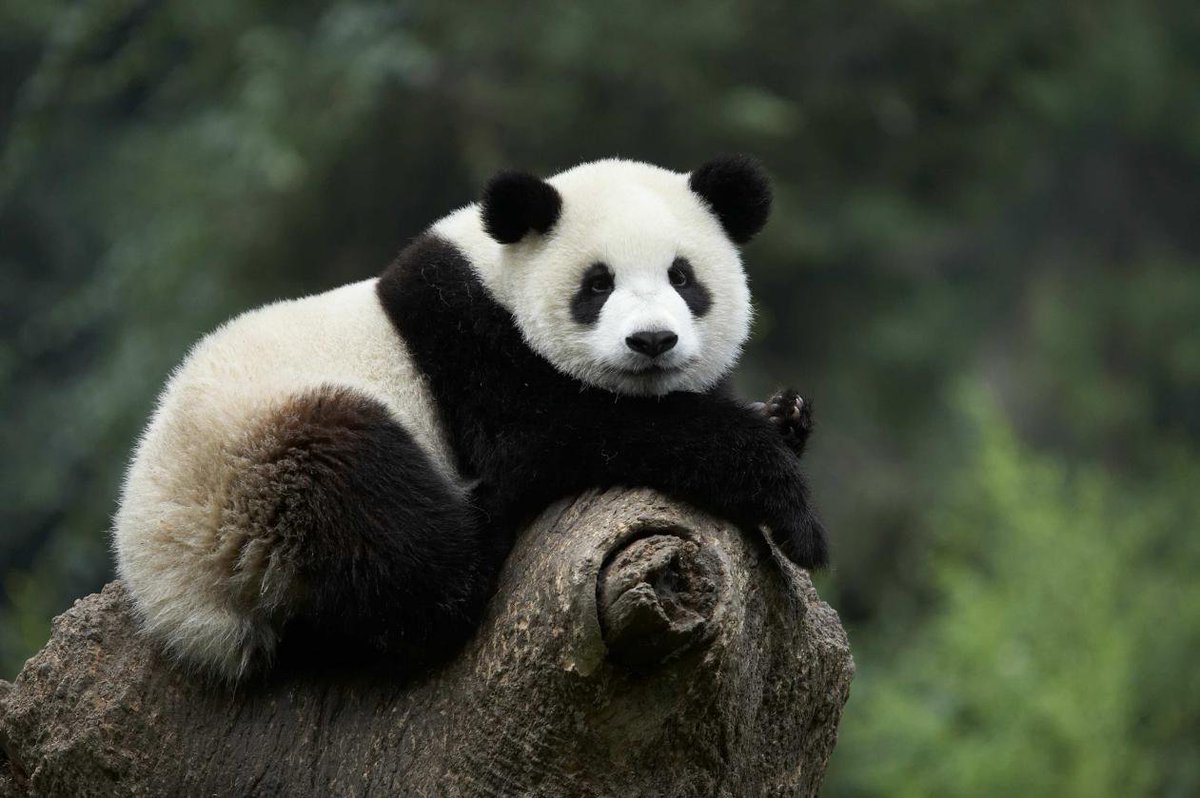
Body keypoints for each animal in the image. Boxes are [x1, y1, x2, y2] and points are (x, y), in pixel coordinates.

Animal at [112, 155, 828, 682]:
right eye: (597, 284)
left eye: (683, 278)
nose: (652, 341)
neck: (495, 274)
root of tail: (175, 598)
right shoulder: (472, 343)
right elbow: (557, 435)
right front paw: (793, 510)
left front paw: (784, 414)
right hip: (261, 461)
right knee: (386, 528)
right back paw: (483, 520)